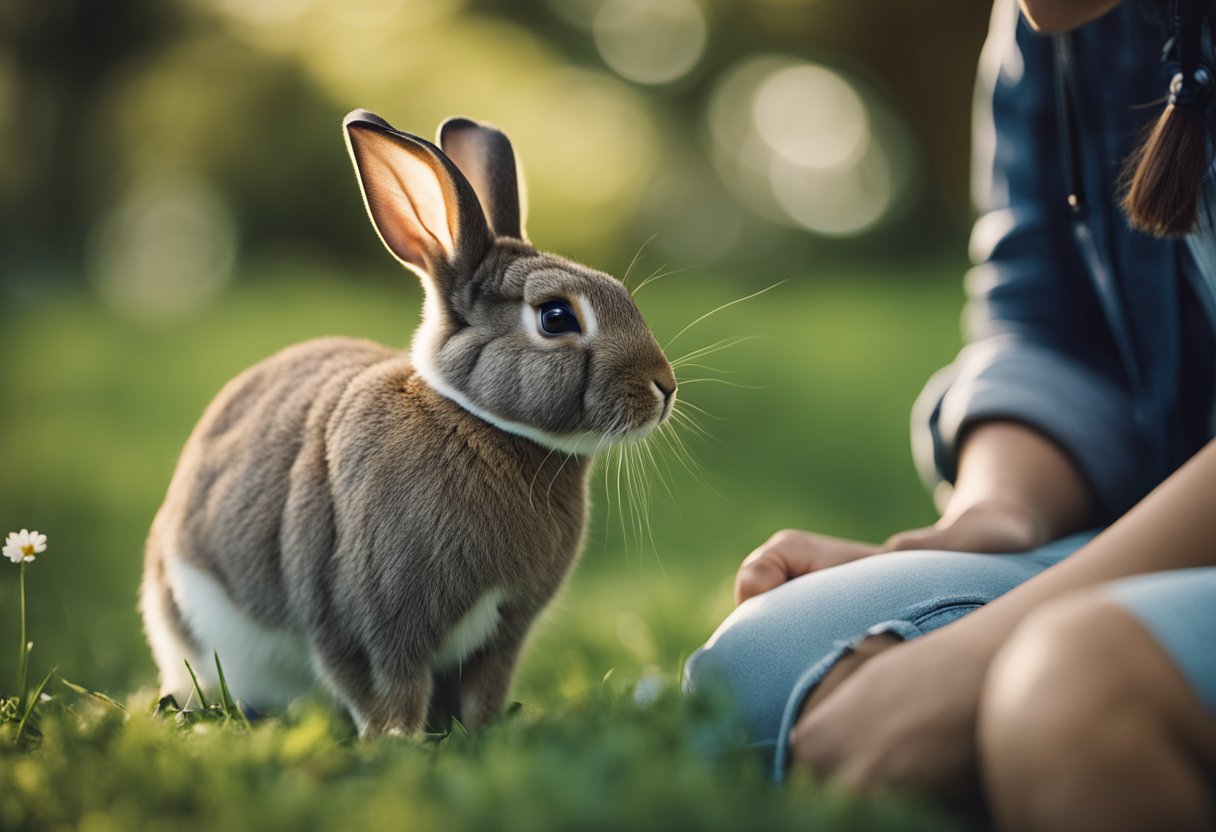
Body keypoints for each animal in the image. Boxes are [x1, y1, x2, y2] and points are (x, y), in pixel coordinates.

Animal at [141, 108, 680, 734]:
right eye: (555, 317)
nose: (664, 387)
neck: (483, 425)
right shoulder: (363, 619)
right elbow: (384, 686)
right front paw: (399, 739)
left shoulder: (503, 633)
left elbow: (483, 688)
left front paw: (480, 732)